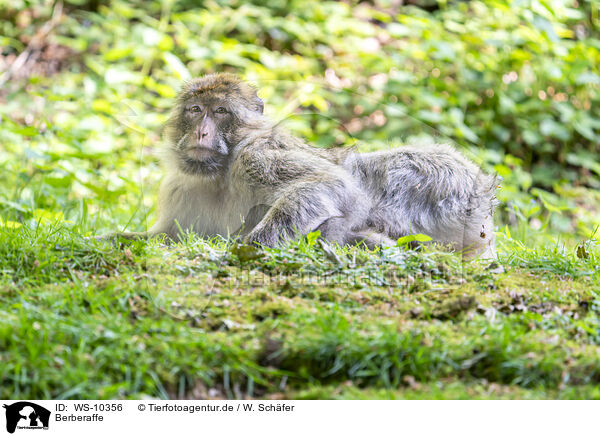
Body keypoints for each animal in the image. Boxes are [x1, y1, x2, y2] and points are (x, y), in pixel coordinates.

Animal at [112, 73, 496, 258]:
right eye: (195, 110)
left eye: (220, 111)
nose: (202, 132)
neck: (218, 174)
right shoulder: (180, 187)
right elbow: (164, 237)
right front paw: (117, 238)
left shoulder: (255, 157)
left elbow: (329, 182)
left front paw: (246, 247)